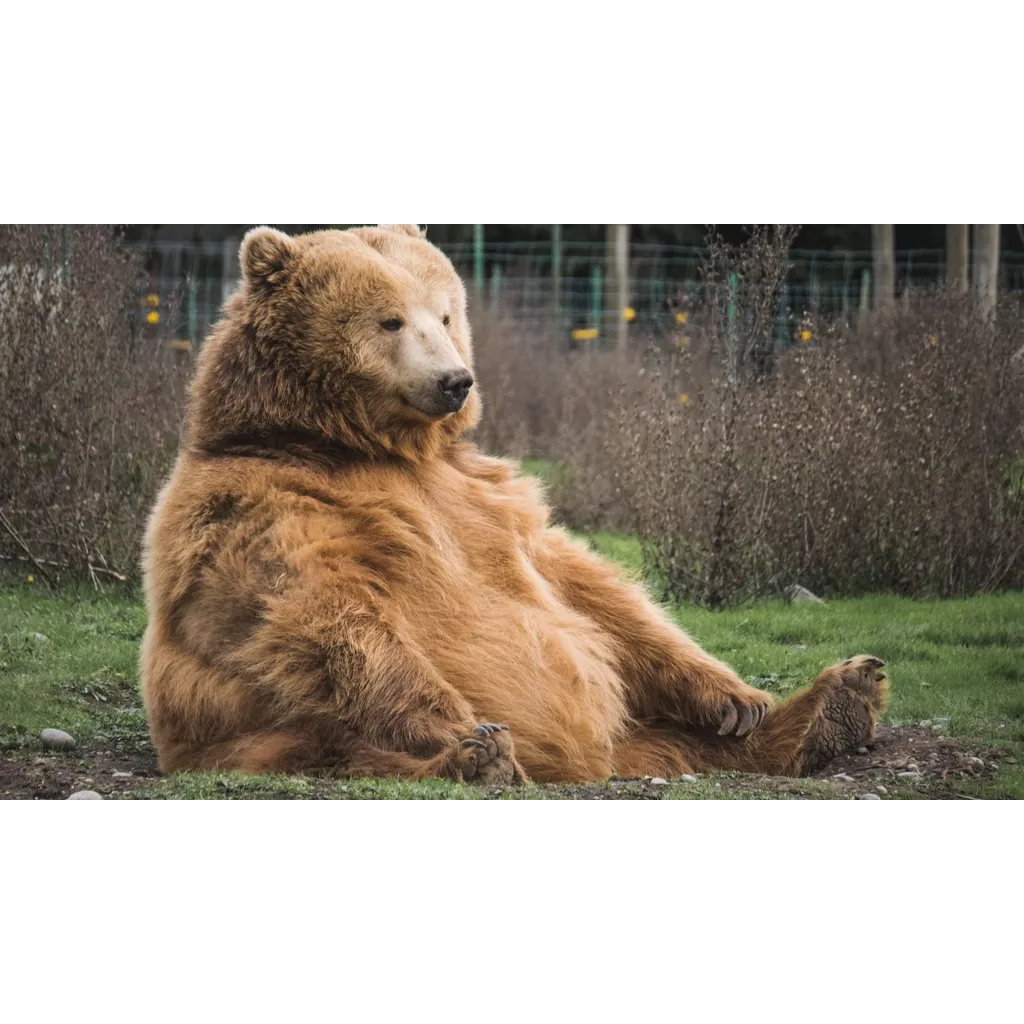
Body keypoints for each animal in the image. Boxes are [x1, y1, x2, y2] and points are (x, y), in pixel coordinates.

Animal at [139, 224, 889, 785]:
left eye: (446, 312)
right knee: (341, 749)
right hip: (256, 732)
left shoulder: (486, 497)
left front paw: (736, 698)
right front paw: (463, 728)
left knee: (681, 739)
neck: (355, 444)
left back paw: (836, 703)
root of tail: (593, 761)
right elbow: (325, 613)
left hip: (637, 730)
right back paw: (478, 759)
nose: (455, 380)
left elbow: (589, 587)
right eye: (389, 320)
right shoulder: (264, 507)